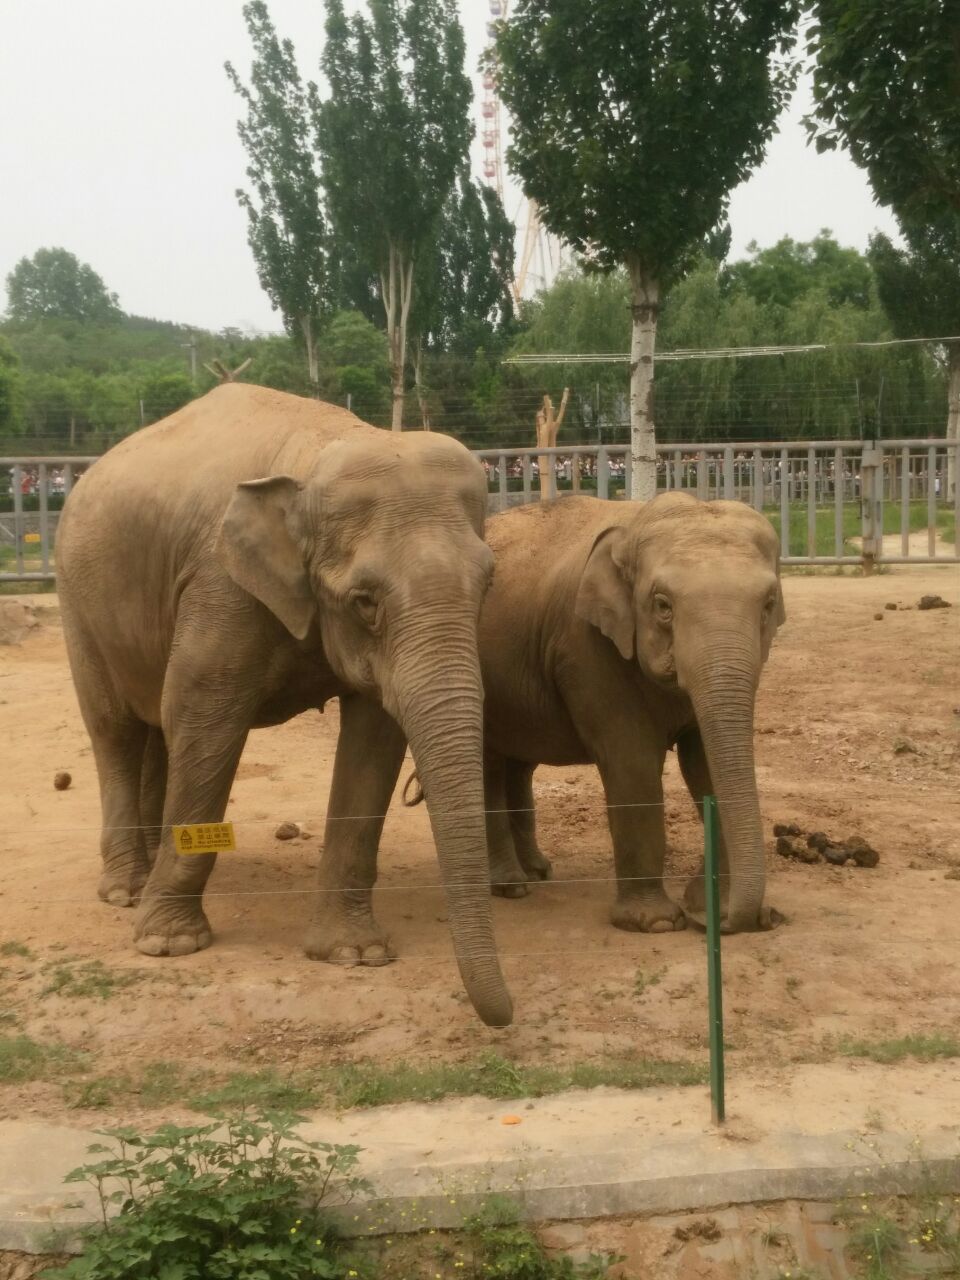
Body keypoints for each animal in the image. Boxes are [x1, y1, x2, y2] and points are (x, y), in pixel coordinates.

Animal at [56, 381, 514, 1029]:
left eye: (488, 586)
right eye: (365, 601)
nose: (505, 1016)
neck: (322, 452)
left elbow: (374, 738)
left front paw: (354, 954)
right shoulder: (220, 585)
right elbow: (202, 718)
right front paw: (169, 944)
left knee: (153, 732)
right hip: (77, 600)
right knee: (115, 728)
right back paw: (125, 892)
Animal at [478, 488, 783, 931]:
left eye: (769, 604)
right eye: (663, 605)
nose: (710, 921)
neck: (634, 524)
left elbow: (706, 765)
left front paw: (722, 907)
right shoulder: (584, 647)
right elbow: (632, 762)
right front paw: (655, 922)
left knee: (515, 763)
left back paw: (536, 871)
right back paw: (509, 887)